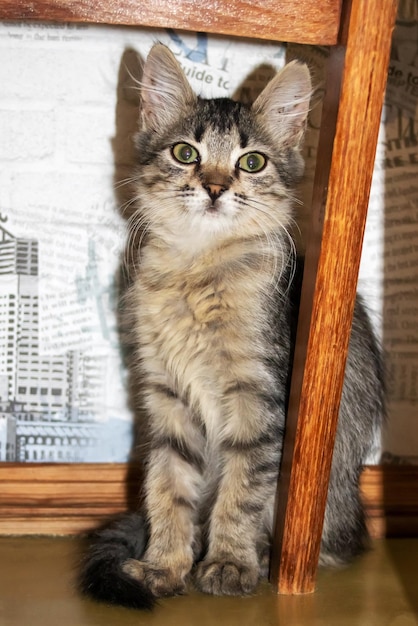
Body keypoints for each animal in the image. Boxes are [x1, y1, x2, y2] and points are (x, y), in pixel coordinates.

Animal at [80, 45, 384, 608]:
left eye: (252, 162)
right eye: (185, 153)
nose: (216, 188)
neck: (198, 270)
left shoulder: (259, 399)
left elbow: (242, 491)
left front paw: (228, 563)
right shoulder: (168, 396)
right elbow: (167, 486)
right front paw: (164, 565)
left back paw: (264, 559)